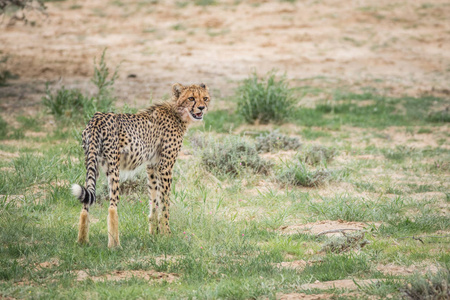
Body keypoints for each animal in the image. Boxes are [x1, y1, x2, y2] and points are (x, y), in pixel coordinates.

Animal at [71, 83, 211, 247]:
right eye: (191, 98)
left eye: (205, 98)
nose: (202, 107)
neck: (177, 112)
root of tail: (97, 118)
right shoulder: (166, 167)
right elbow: (165, 202)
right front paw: (167, 234)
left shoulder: (152, 165)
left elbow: (154, 199)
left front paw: (155, 233)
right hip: (113, 168)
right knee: (112, 207)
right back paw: (115, 245)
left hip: (92, 164)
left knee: (85, 204)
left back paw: (82, 242)